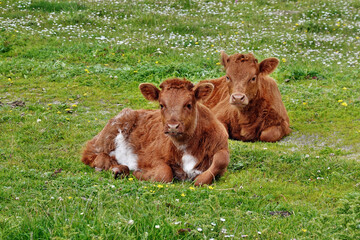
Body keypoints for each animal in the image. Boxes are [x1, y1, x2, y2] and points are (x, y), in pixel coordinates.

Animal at [81, 78, 229, 186]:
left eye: (189, 104)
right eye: (161, 105)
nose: (173, 126)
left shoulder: (221, 145)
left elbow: (219, 161)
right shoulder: (149, 157)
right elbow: (165, 173)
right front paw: (139, 173)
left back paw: (120, 169)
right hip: (110, 133)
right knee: (91, 155)